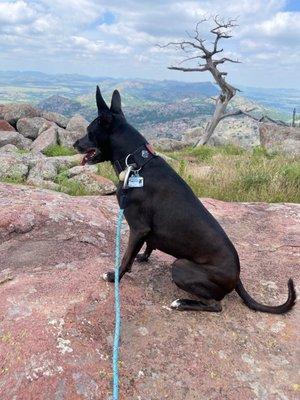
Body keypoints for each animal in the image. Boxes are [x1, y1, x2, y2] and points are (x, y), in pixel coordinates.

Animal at [74, 86, 296, 314]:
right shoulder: (145, 233)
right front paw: (143, 257)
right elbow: (148, 245)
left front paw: (114, 276)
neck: (137, 164)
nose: (75, 144)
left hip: (180, 266)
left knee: (215, 305)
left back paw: (181, 303)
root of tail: (237, 277)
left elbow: (126, 258)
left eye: (89, 131)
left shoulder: (138, 228)